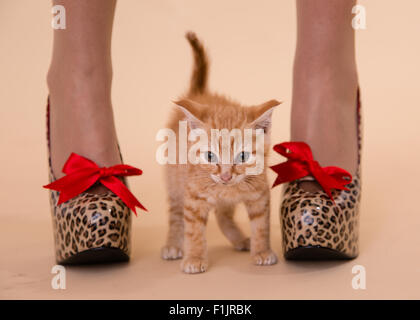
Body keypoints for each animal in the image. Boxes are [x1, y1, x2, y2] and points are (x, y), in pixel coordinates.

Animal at [162, 31, 280, 272]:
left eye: (243, 156)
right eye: (210, 156)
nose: (226, 176)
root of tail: (199, 93)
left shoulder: (260, 194)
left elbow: (261, 225)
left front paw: (261, 251)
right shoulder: (193, 195)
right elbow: (193, 230)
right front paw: (194, 257)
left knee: (222, 215)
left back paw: (240, 240)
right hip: (175, 181)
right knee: (176, 214)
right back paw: (173, 245)